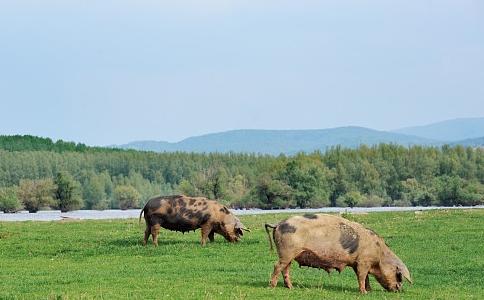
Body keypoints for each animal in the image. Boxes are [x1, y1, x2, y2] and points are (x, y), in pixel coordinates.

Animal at [264, 213, 412, 292]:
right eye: (399, 275)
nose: (400, 290)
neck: (380, 255)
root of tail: (278, 224)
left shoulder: (357, 263)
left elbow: (365, 277)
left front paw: (369, 290)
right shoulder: (363, 261)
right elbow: (362, 276)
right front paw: (364, 292)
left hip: (288, 253)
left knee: (285, 268)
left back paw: (290, 287)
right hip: (288, 250)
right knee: (277, 266)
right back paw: (272, 286)